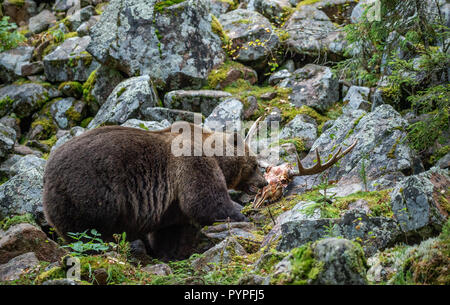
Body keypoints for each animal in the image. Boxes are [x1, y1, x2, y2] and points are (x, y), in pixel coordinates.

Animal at [43, 122, 268, 258]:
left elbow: (170, 229)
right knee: (88, 234)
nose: (264, 182)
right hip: (89, 192)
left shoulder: (172, 203)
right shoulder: (190, 163)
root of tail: (47, 174)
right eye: (256, 164)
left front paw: (167, 252)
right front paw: (241, 214)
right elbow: (205, 200)